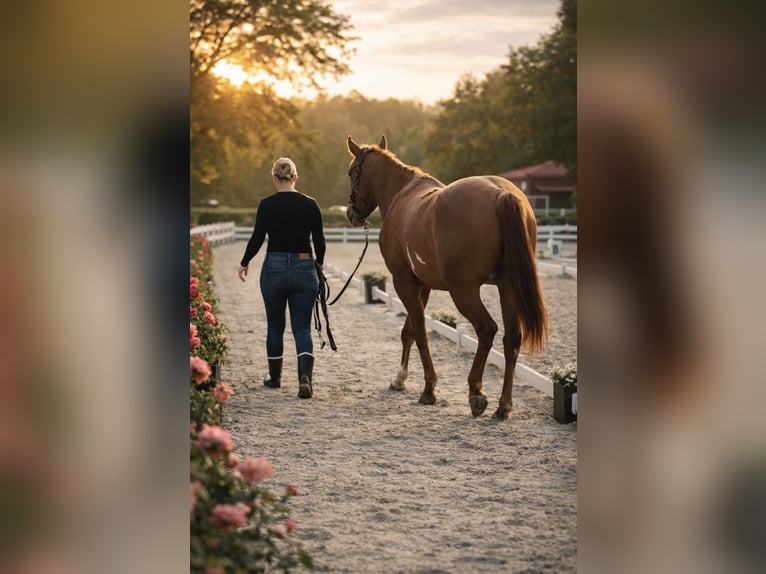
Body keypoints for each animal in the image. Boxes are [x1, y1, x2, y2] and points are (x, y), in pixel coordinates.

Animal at [345, 135, 547, 420]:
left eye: (352, 172)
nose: (351, 214)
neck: (401, 195)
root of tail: (501, 193)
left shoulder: (403, 281)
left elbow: (419, 332)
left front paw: (428, 389)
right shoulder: (423, 286)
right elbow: (408, 331)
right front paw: (400, 379)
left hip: (464, 291)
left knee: (487, 329)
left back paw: (476, 393)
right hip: (507, 288)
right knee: (511, 339)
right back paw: (503, 406)